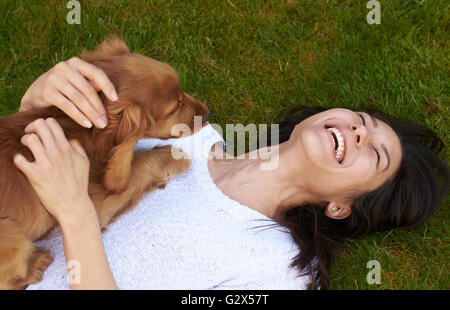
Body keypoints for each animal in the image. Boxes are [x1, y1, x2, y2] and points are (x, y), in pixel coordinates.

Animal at [0, 37, 209, 290]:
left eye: (181, 93)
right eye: (174, 107)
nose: (207, 115)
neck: (74, 126)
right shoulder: (96, 202)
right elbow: (138, 165)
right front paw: (173, 156)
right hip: (12, 234)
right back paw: (37, 263)